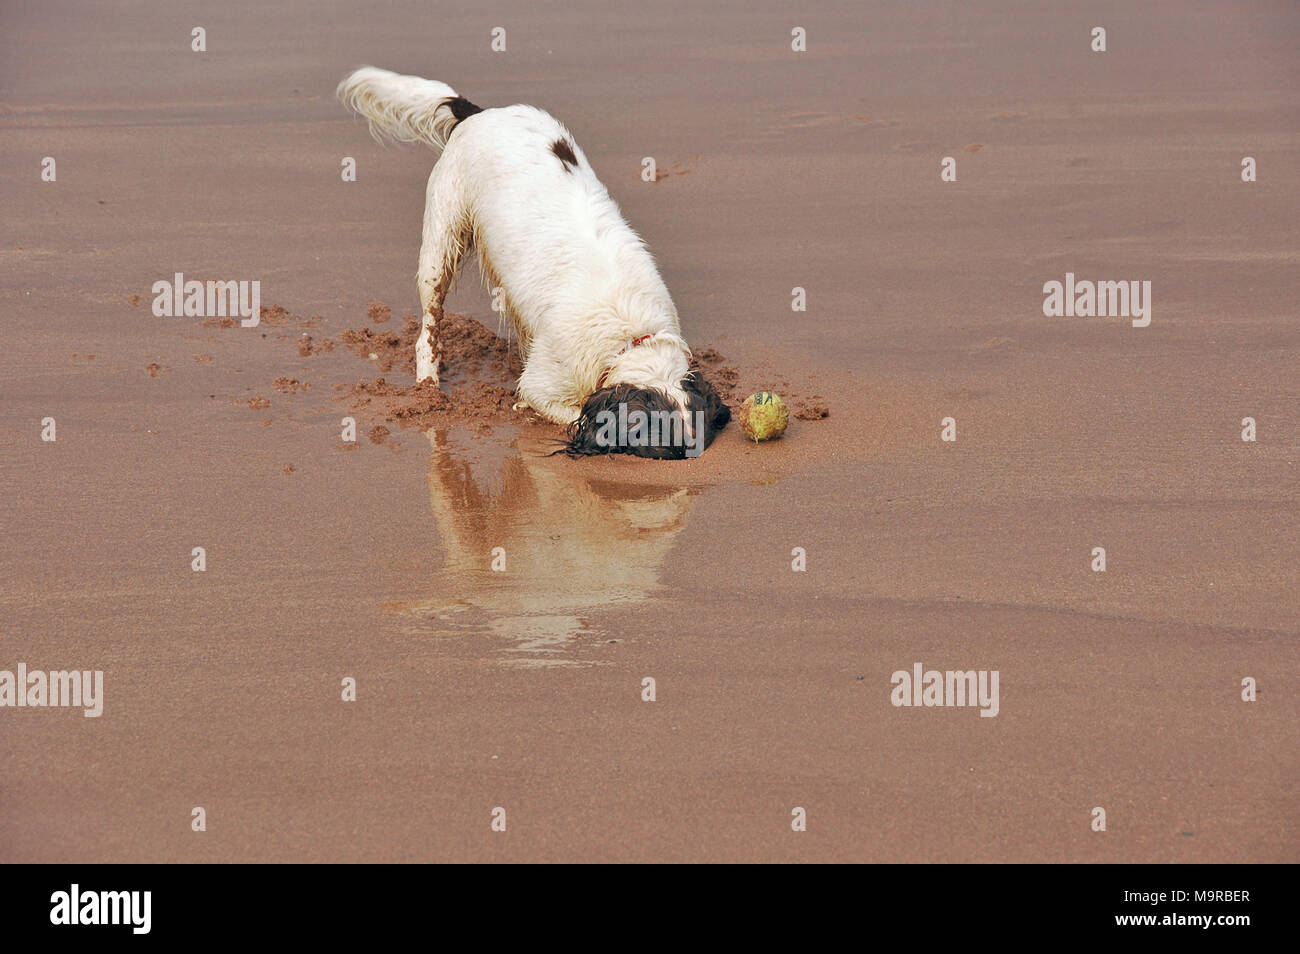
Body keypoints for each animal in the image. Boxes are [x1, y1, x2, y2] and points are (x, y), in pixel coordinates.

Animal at [338, 67, 733, 460]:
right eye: (665, 451)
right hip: (440, 245)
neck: (629, 335)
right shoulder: (543, 384)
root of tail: (480, 112)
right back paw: (428, 387)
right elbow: (562, 409)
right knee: (428, 329)